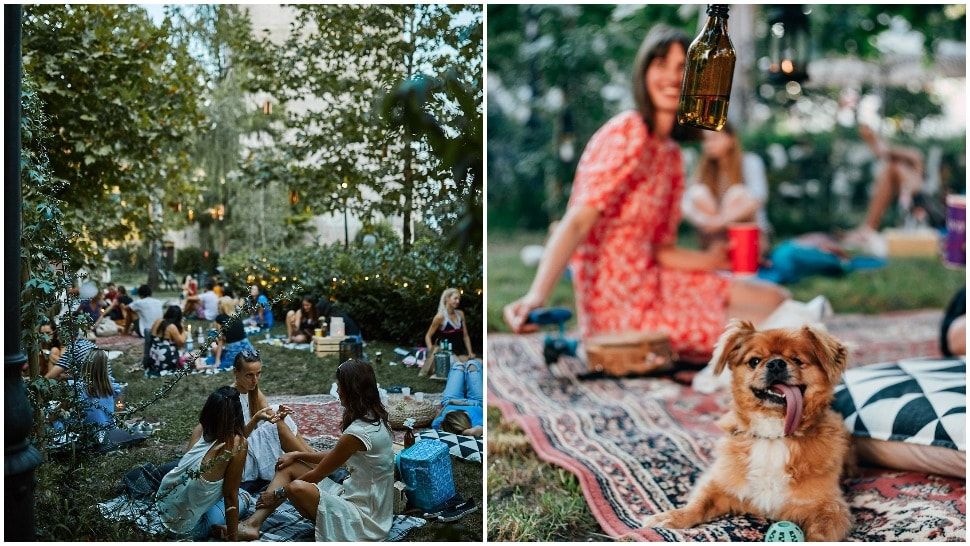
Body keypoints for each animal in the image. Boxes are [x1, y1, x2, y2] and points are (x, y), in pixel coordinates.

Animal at [648, 320, 852, 536]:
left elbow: (820, 534)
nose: (776, 363)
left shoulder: (830, 508)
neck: (774, 436)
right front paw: (671, 517)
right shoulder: (720, 485)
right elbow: (699, 504)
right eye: (754, 361)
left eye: (797, 360)